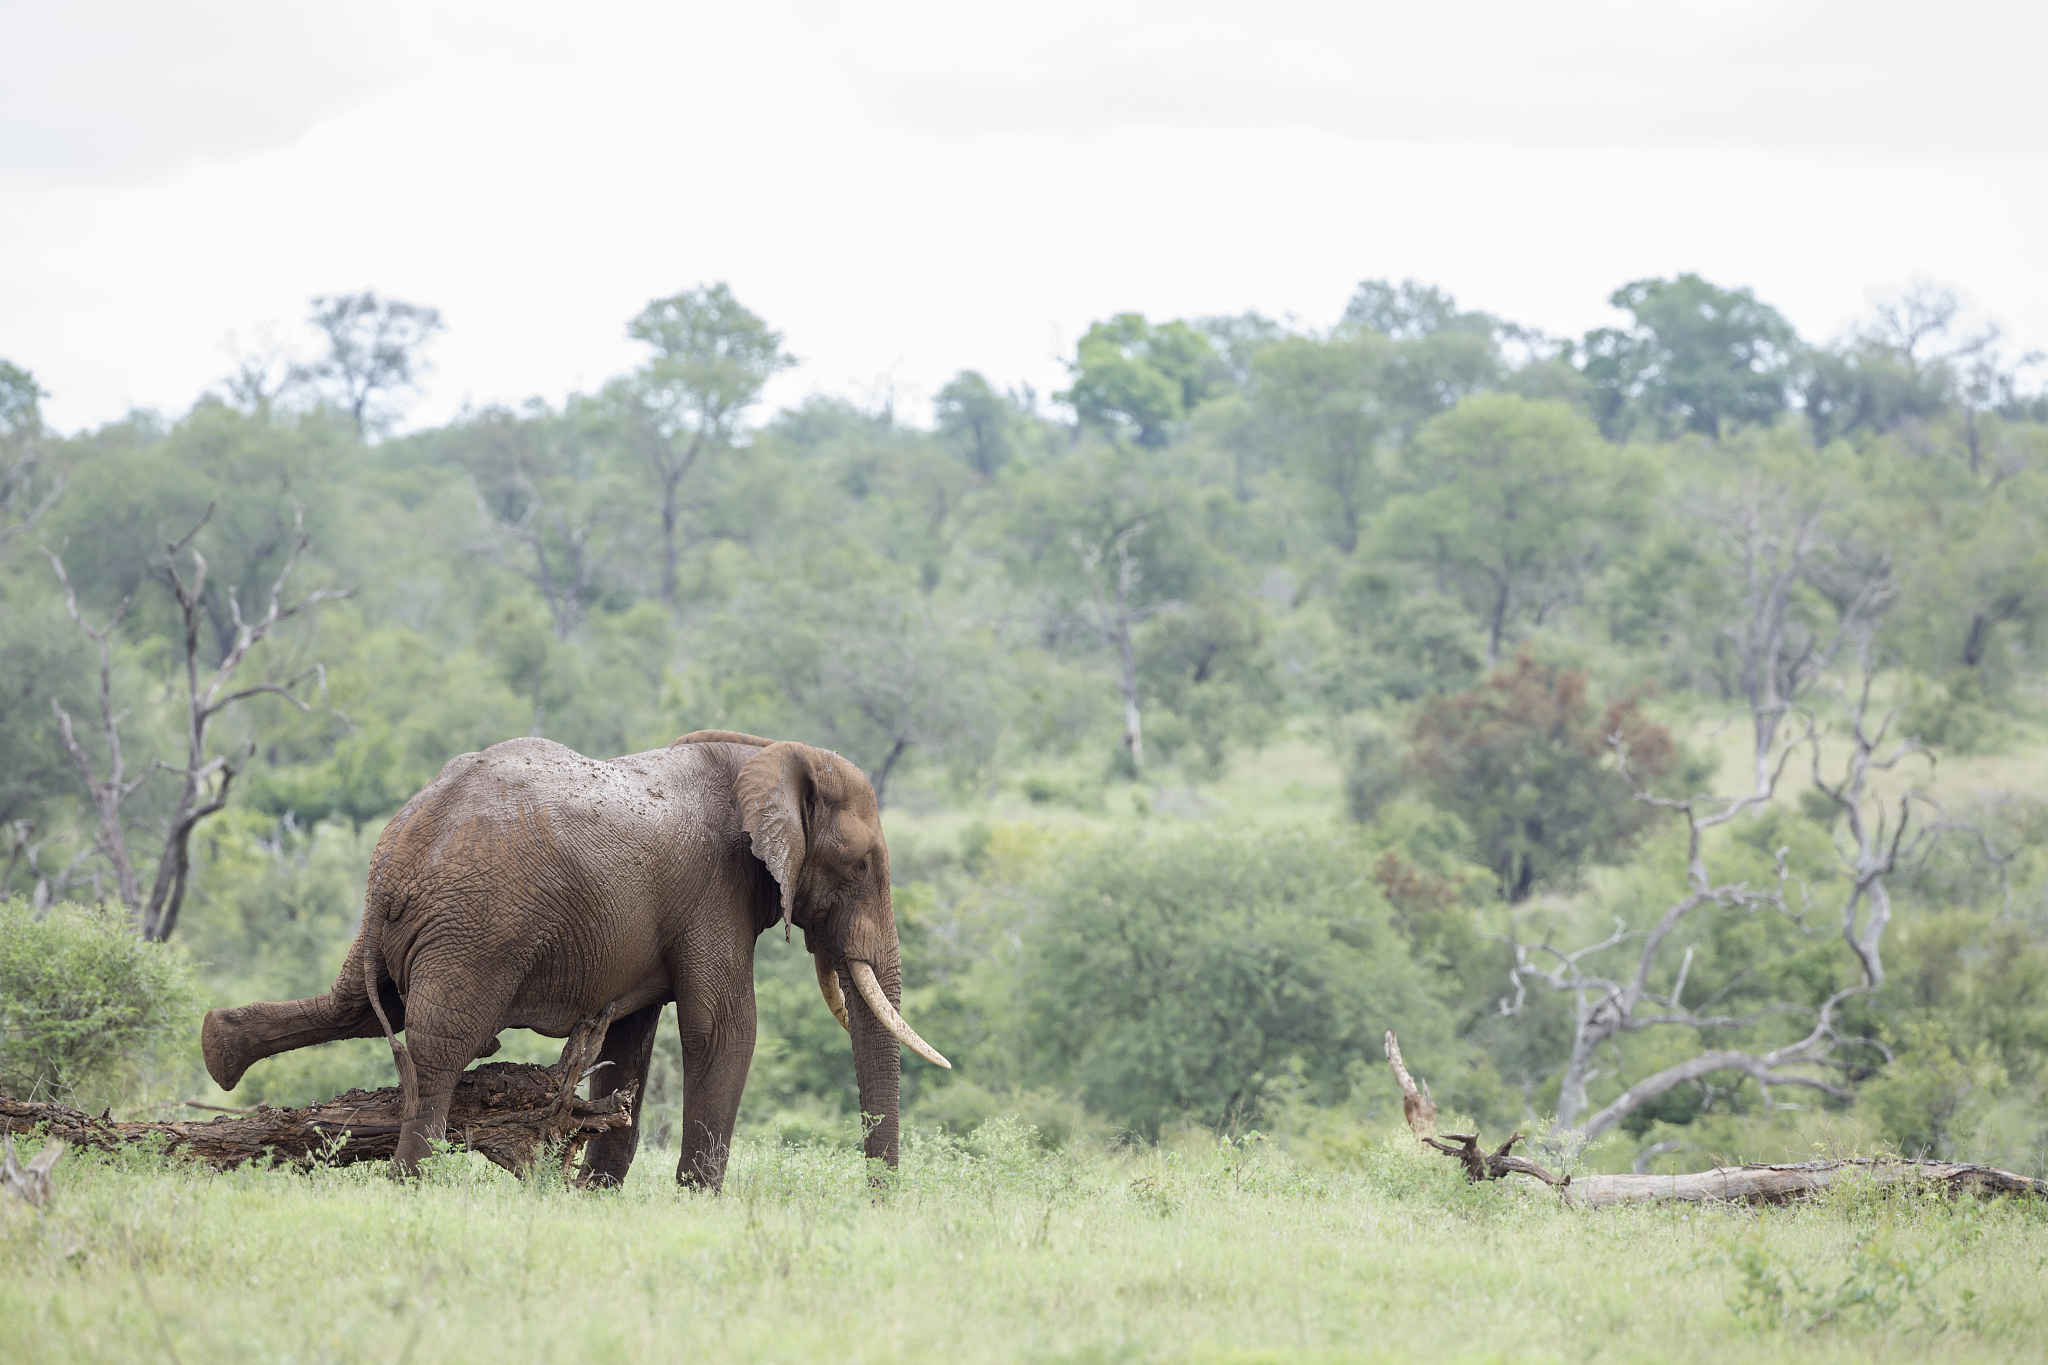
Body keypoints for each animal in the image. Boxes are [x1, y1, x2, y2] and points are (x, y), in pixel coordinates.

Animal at [200, 730, 949, 1187]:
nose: (878, 1201)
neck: (765, 753)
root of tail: (399, 856)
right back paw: (411, 1183)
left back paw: (218, 1048)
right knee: (439, 1044)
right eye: (863, 865)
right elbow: (724, 1026)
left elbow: (629, 1039)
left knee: (354, 1001)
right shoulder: (716, 891)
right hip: (475, 929)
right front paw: (698, 1202)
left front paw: (593, 1194)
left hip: (414, 922)